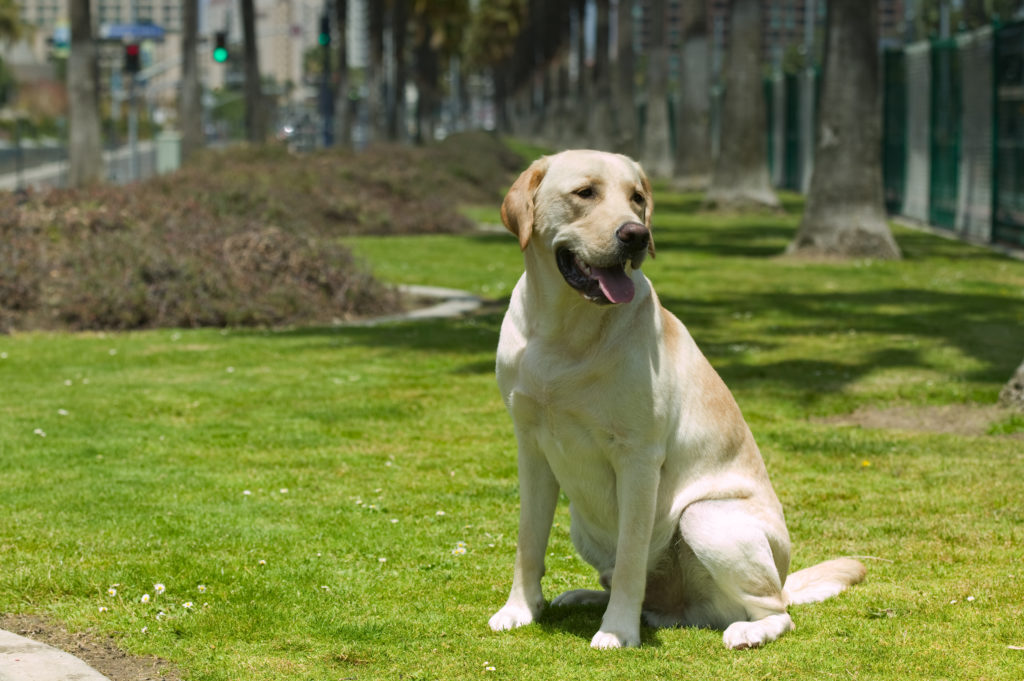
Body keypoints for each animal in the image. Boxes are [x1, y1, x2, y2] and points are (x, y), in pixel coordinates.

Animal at [487, 151, 864, 651]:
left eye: (637, 198)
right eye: (585, 192)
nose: (635, 235)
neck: (563, 333)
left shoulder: (638, 458)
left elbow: (631, 555)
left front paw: (617, 631)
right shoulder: (531, 447)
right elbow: (528, 542)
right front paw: (521, 609)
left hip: (704, 518)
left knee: (776, 610)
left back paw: (747, 630)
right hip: (582, 523)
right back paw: (585, 596)